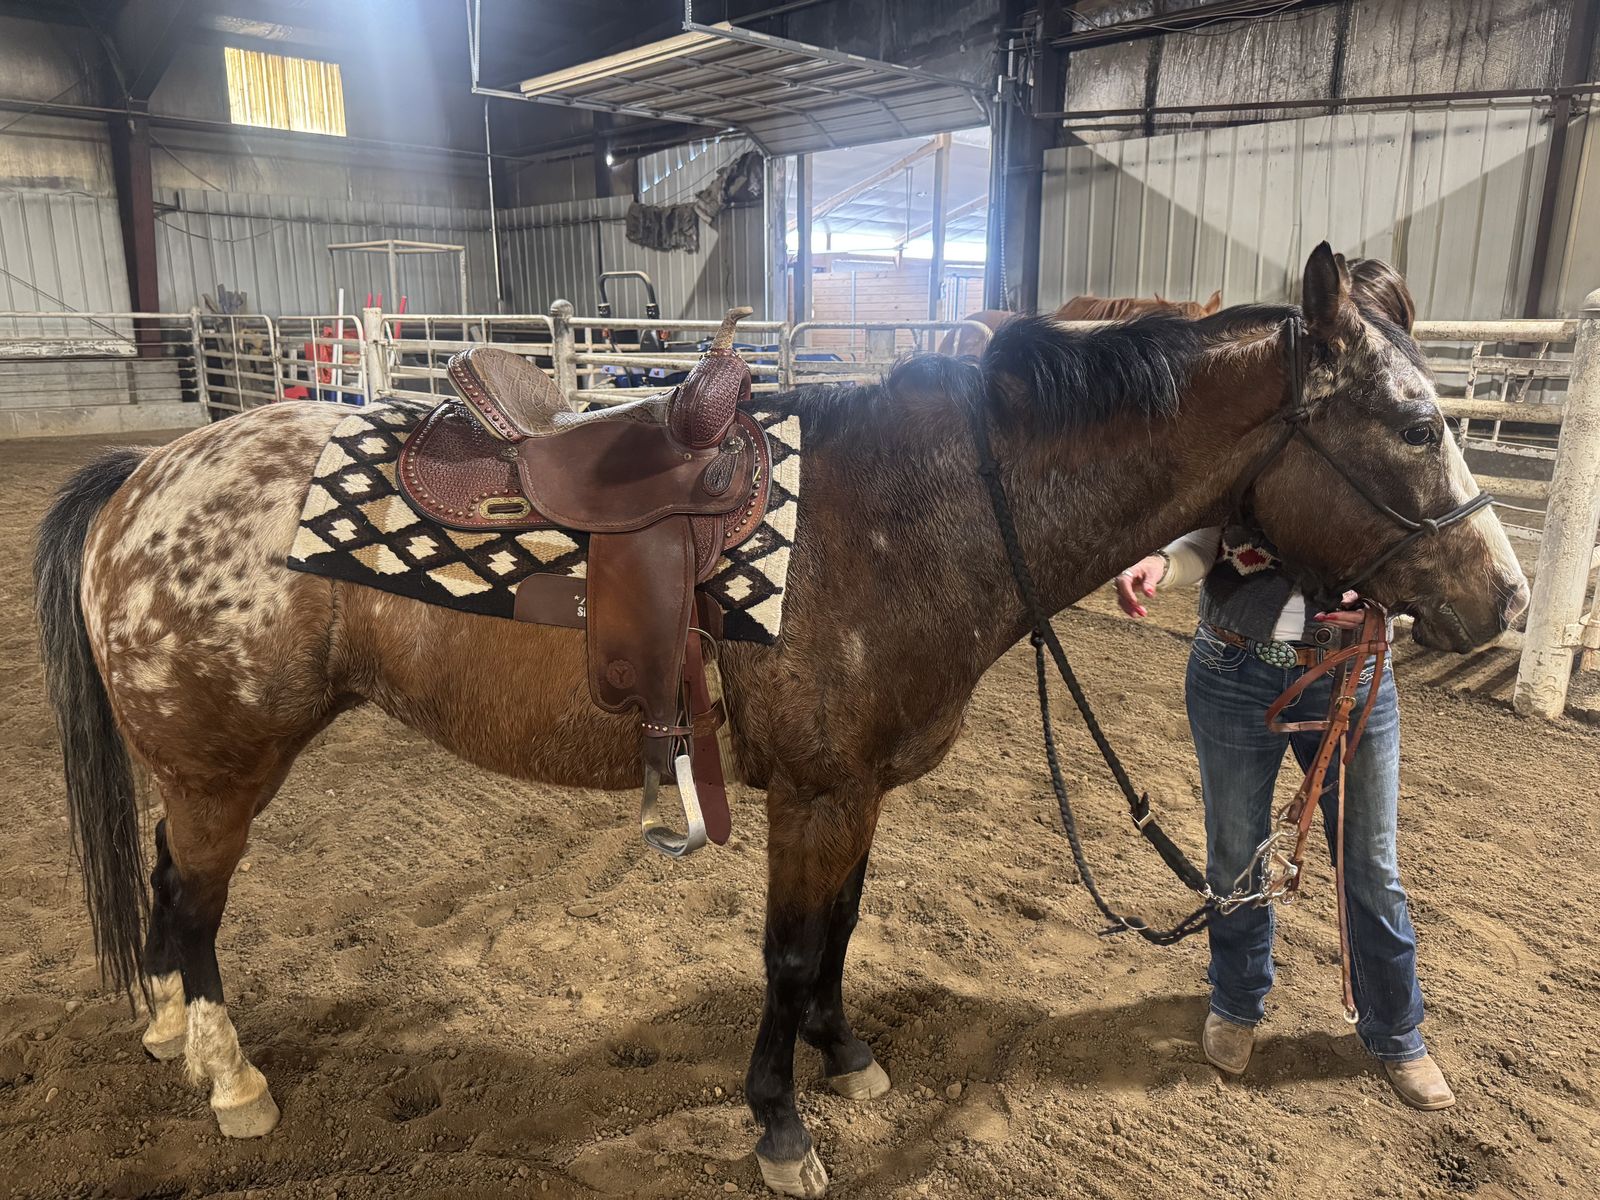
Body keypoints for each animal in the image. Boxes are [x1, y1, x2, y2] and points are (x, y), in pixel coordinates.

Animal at [34, 245, 1526, 1198]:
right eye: (1411, 423)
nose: (1504, 599)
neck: (922, 508)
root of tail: (145, 475)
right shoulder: (815, 792)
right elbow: (792, 951)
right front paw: (779, 1126)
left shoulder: (854, 795)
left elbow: (840, 936)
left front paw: (847, 1063)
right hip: (223, 767)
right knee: (197, 908)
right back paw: (228, 1077)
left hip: (197, 770)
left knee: (167, 894)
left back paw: (167, 1034)